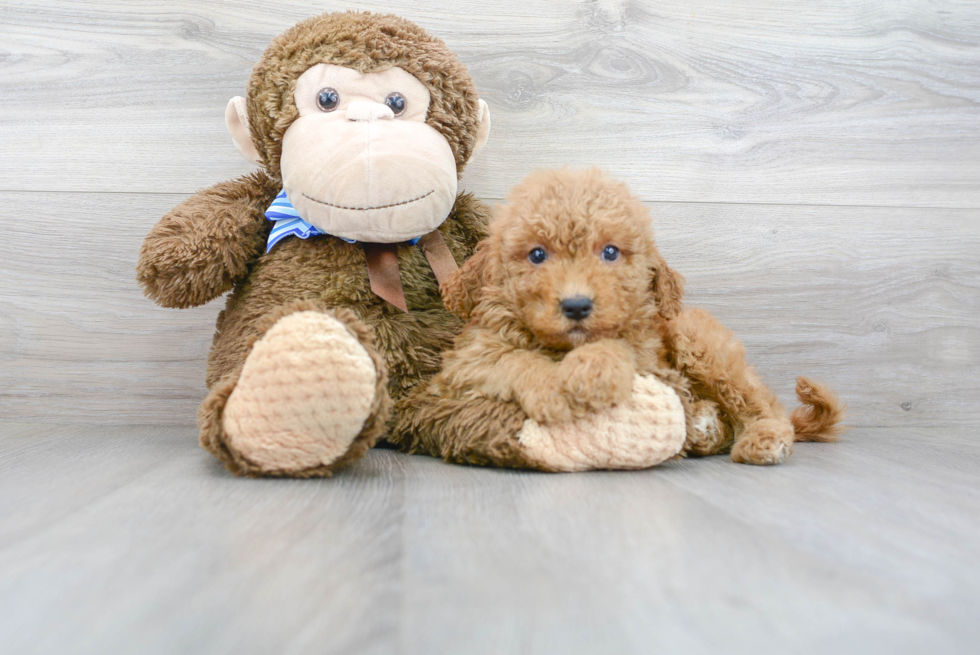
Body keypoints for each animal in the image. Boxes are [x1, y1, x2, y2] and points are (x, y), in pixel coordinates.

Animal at [390, 167, 844, 468]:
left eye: (610, 252)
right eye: (537, 255)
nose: (576, 306)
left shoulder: (652, 362)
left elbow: (618, 346)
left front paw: (594, 370)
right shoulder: (464, 363)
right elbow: (513, 359)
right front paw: (553, 390)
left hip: (694, 338)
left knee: (759, 399)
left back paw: (761, 437)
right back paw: (706, 425)